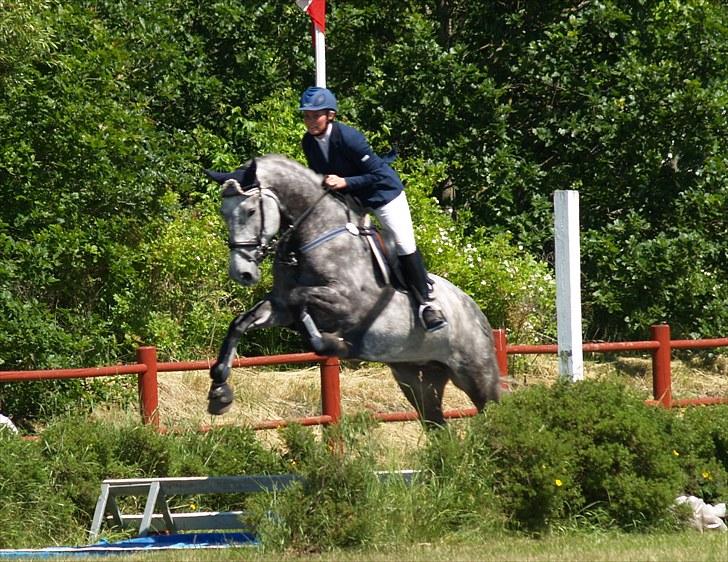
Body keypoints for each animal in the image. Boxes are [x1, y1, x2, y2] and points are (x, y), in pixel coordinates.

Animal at [205, 153, 500, 424]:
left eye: (250, 211)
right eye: (223, 212)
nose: (242, 273)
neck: (314, 237)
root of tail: (478, 313)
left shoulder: (348, 304)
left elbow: (301, 300)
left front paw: (335, 344)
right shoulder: (280, 307)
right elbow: (241, 322)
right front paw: (219, 392)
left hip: (476, 374)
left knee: (497, 406)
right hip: (419, 379)